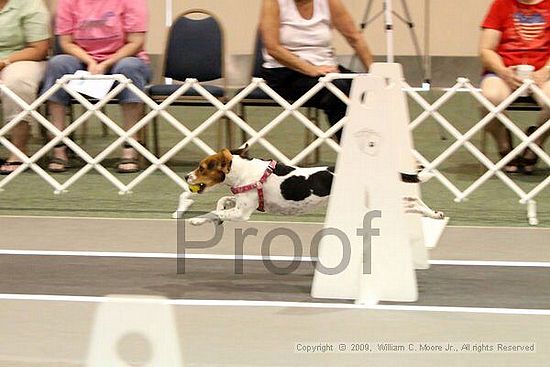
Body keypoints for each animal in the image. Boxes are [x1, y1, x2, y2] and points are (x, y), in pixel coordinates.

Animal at [179, 145, 446, 226]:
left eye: (202, 168)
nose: (186, 177)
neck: (243, 171)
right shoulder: (240, 201)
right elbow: (222, 202)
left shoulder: (242, 213)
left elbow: (214, 210)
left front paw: (197, 220)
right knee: (412, 201)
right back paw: (435, 213)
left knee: (411, 201)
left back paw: (432, 213)